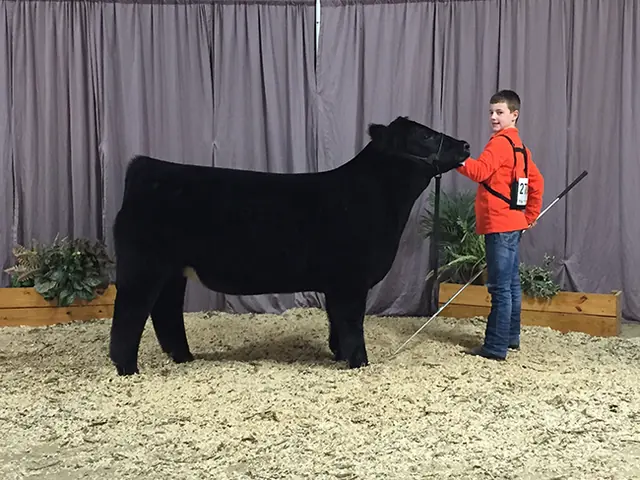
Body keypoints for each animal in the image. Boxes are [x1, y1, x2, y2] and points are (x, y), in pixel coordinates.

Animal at [108, 116, 471, 375]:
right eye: (424, 135)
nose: (466, 144)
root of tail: (146, 168)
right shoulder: (350, 280)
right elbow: (351, 322)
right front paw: (359, 362)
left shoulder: (337, 284)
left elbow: (336, 321)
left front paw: (339, 354)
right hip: (143, 266)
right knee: (130, 313)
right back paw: (127, 368)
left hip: (173, 270)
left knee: (165, 311)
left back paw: (182, 357)